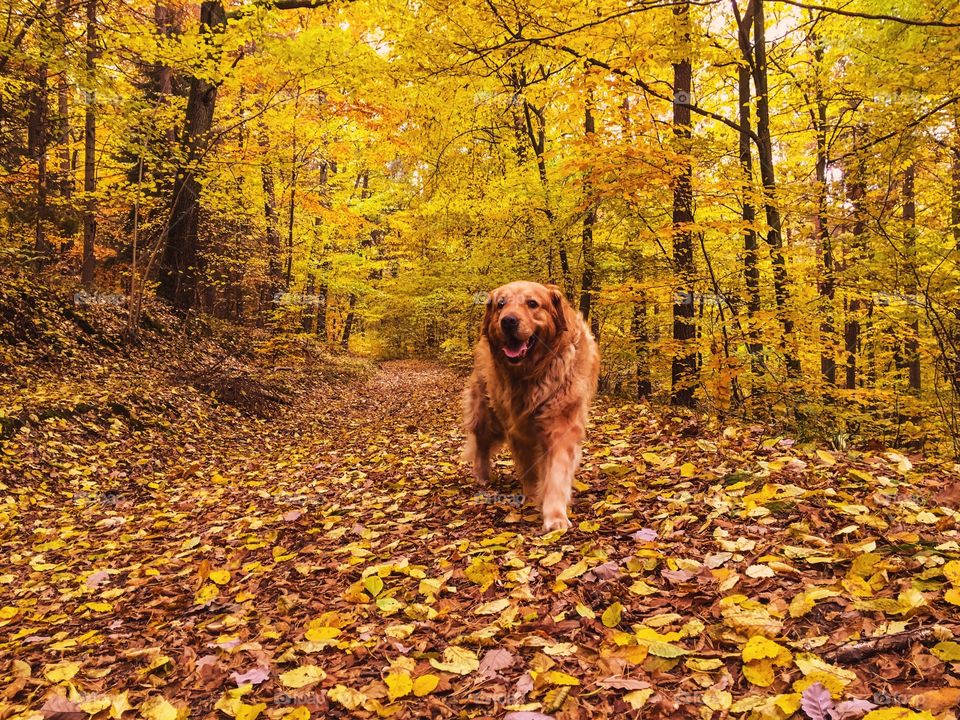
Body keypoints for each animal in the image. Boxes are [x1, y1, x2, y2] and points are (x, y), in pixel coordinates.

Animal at [462, 282, 596, 528]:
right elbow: (529, 469)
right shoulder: (517, 429)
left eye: (532, 303)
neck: (533, 373)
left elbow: (556, 473)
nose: (508, 321)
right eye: (501, 304)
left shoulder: (561, 424)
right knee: (481, 443)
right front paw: (533, 497)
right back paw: (483, 477)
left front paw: (555, 516)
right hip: (486, 414)